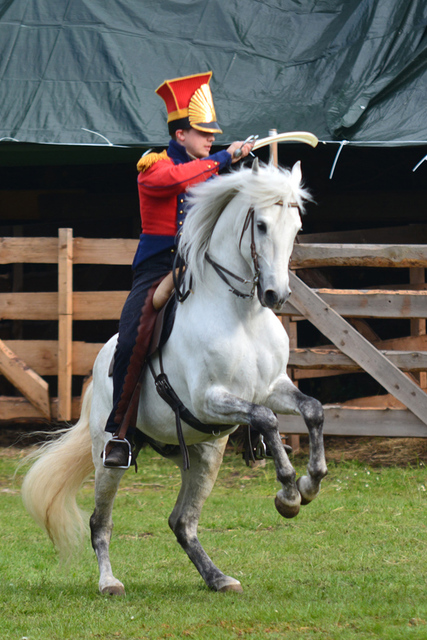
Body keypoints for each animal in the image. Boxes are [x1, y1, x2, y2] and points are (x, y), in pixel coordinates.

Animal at [21, 159, 330, 596]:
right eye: (261, 225)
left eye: (296, 227)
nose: (276, 295)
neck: (242, 316)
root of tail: (99, 368)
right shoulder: (210, 398)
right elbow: (267, 420)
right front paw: (288, 492)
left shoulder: (271, 389)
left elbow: (312, 410)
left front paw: (310, 483)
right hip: (109, 458)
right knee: (101, 522)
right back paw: (109, 582)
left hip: (205, 456)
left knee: (182, 522)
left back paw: (218, 578)